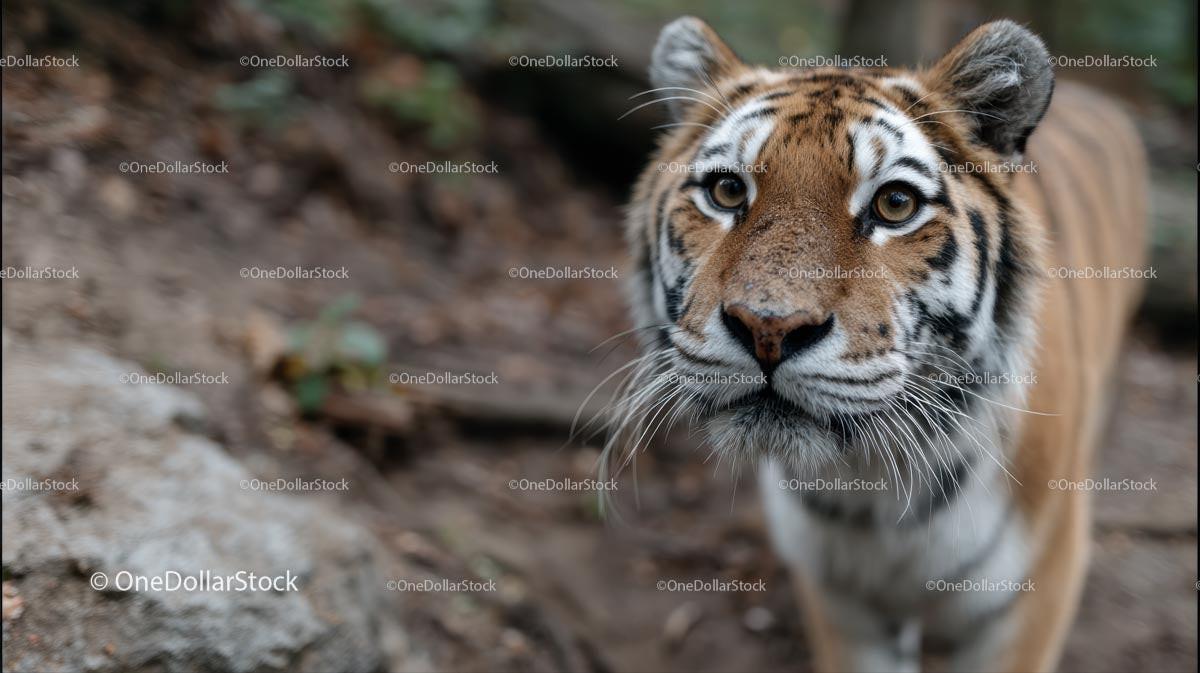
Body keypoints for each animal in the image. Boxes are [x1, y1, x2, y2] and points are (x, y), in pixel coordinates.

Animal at [615, 17, 1148, 673]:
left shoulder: (1027, 604)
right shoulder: (840, 604)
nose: (768, 328)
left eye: (896, 204)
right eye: (727, 192)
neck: (869, 493)